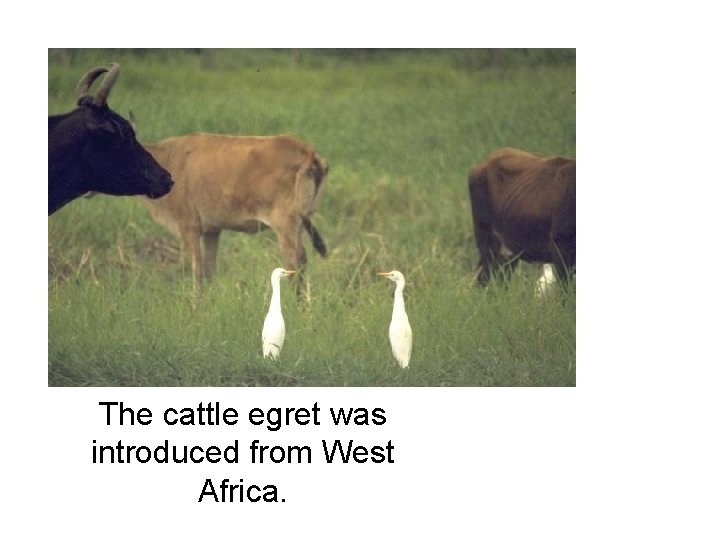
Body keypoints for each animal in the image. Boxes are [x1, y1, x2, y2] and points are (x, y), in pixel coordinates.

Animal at [138, 133, 328, 288]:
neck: (169, 157)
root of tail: (308, 152)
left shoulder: (189, 226)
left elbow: (196, 272)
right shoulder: (212, 230)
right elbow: (209, 270)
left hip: (285, 226)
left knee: (293, 264)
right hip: (301, 224)